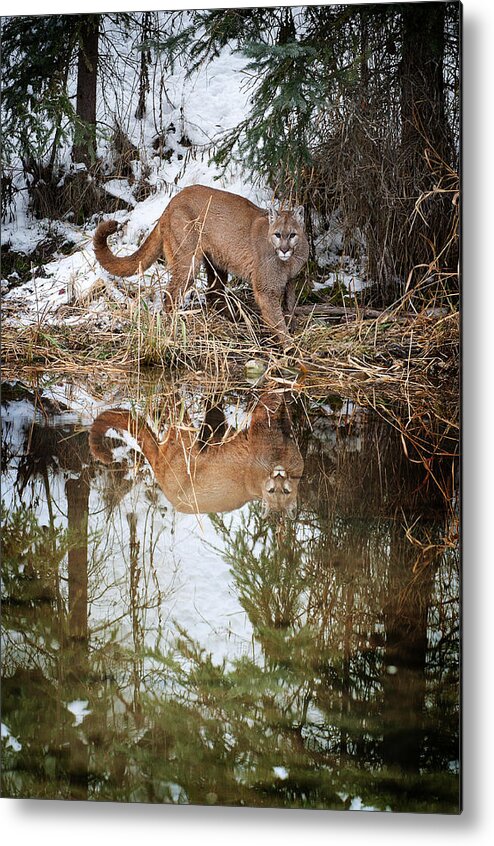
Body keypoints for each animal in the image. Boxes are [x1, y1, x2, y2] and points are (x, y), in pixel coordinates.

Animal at [90, 390, 302, 516]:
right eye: (272, 491)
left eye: (285, 492)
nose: (278, 477)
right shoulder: (262, 434)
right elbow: (265, 408)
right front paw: (277, 391)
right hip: (183, 439)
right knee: (173, 408)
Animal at [93, 185, 308, 344]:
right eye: (277, 234)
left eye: (292, 235)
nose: (284, 250)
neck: (289, 261)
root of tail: (171, 203)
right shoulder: (266, 290)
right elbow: (276, 320)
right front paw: (290, 349)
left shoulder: (290, 282)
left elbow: (290, 306)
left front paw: (293, 328)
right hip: (188, 260)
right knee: (171, 295)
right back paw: (176, 326)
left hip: (217, 261)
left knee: (212, 292)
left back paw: (231, 317)